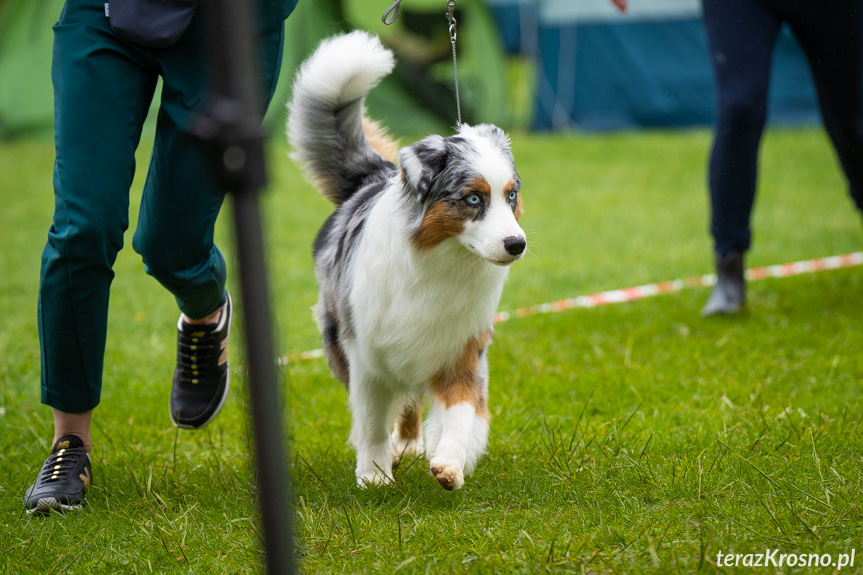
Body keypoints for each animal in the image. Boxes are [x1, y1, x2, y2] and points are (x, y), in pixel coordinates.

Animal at [286, 30, 524, 490]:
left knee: (412, 400)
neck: (442, 263)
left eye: (511, 196)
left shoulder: (461, 350)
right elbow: (372, 420)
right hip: (338, 341)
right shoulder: (366, 356)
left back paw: (412, 444)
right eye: (473, 199)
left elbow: (462, 411)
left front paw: (449, 463)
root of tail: (373, 175)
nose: (516, 243)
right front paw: (375, 474)